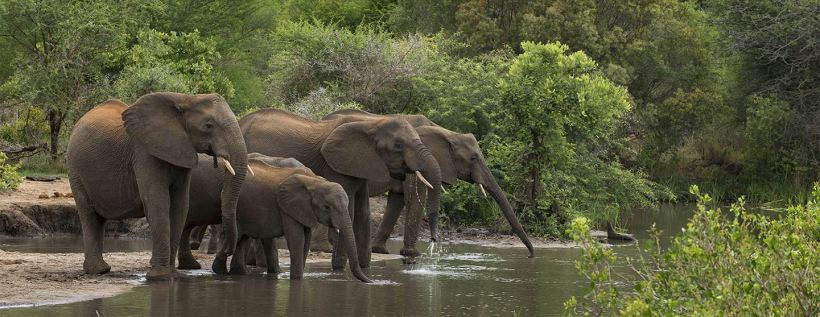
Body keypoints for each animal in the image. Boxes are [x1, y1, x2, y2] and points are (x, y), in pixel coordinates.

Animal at [67, 92, 248, 278]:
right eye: (208, 125)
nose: (226, 250)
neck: (186, 99)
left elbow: (180, 206)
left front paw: (172, 275)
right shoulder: (144, 152)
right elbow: (158, 202)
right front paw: (160, 276)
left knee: (99, 219)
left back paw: (102, 269)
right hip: (75, 170)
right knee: (89, 215)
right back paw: (98, 270)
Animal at [180, 154, 372, 282]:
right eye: (327, 207)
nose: (371, 282)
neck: (316, 182)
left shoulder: (304, 210)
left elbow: (305, 241)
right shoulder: (287, 207)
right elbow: (296, 240)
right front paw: (296, 280)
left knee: (241, 239)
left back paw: (234, 273)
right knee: (235, 236)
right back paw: (220, 270)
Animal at [239, 109, 442, 270]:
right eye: (398, 145)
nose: (434, 241)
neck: (372, 124)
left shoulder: (360, 165)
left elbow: (363, 213)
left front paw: (364, 267)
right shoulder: (337, 167)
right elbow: (350, 211)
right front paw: (338, 268)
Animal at [324, 108, 536, 256]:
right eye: (473, 158)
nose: (530, 256)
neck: (446, 132)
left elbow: (398, 200)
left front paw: (380, 251)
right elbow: (413, 198)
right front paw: (411, 254)